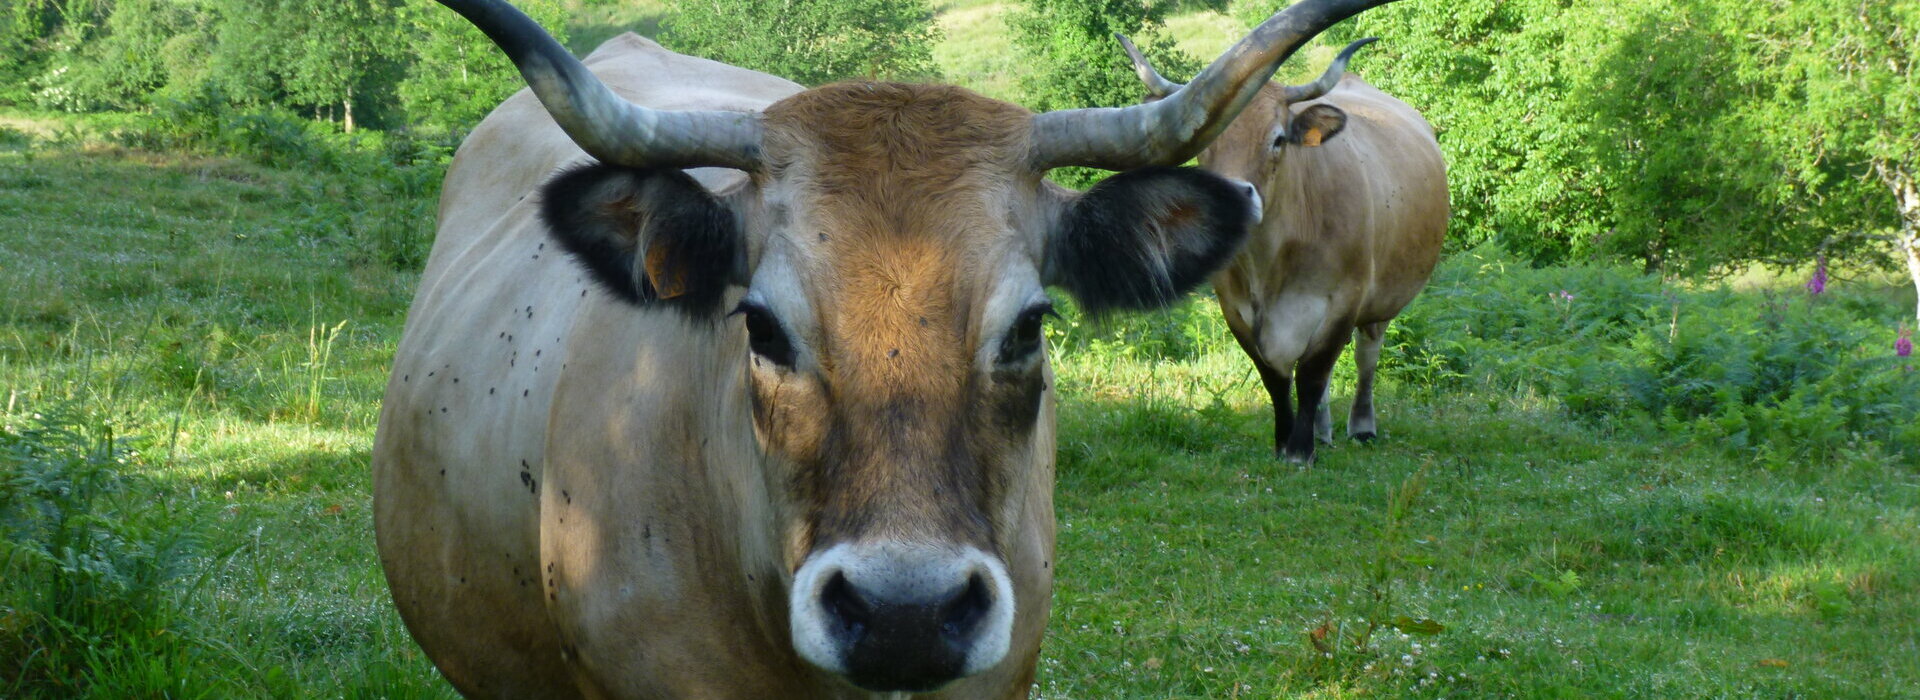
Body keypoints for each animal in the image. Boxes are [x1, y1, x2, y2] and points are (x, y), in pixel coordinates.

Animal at [1121, 36, 1443, 464]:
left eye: (1277, 139)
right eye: (1206, 143)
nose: (1232, 199)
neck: (1268, 265)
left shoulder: (1344, 302)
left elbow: (1311, 375)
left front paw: (1300, 450)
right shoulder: (1235, 311)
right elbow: (1275, 378)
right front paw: (1285, 440)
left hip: (1380, 302)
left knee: (1365, 357)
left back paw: (1361, 426)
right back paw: (1324, 430)